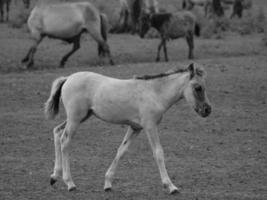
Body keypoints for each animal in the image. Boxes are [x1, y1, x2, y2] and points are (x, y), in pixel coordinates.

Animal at [45, 63, 213, 194]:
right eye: (198, 87)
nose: (207, 110)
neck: (155, 93)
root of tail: (68, 78)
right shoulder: (150, 126)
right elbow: (158, 152)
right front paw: (171, 186)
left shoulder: (135, 128)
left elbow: (121, 151)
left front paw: (108, 183)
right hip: (75, 118)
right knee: (65, 141)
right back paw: (70, 183)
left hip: (82, 116)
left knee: (57, 131)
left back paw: (54, 177)